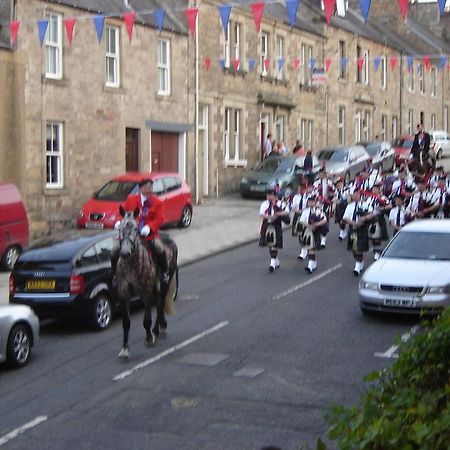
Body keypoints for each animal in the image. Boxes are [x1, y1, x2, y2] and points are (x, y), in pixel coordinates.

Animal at [114, 207, 178, 358]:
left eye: (135, 228)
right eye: (120, 228)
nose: (124, 252)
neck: (131, 264)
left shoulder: (146, 291)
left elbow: (146, 319)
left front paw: (149, 338)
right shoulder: (123, 292)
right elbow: (126, 322)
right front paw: (125, 347)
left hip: (165, 280)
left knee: (160, 303)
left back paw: (156, 330)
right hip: (155, 285)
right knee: (159, 301)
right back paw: (162, 325)